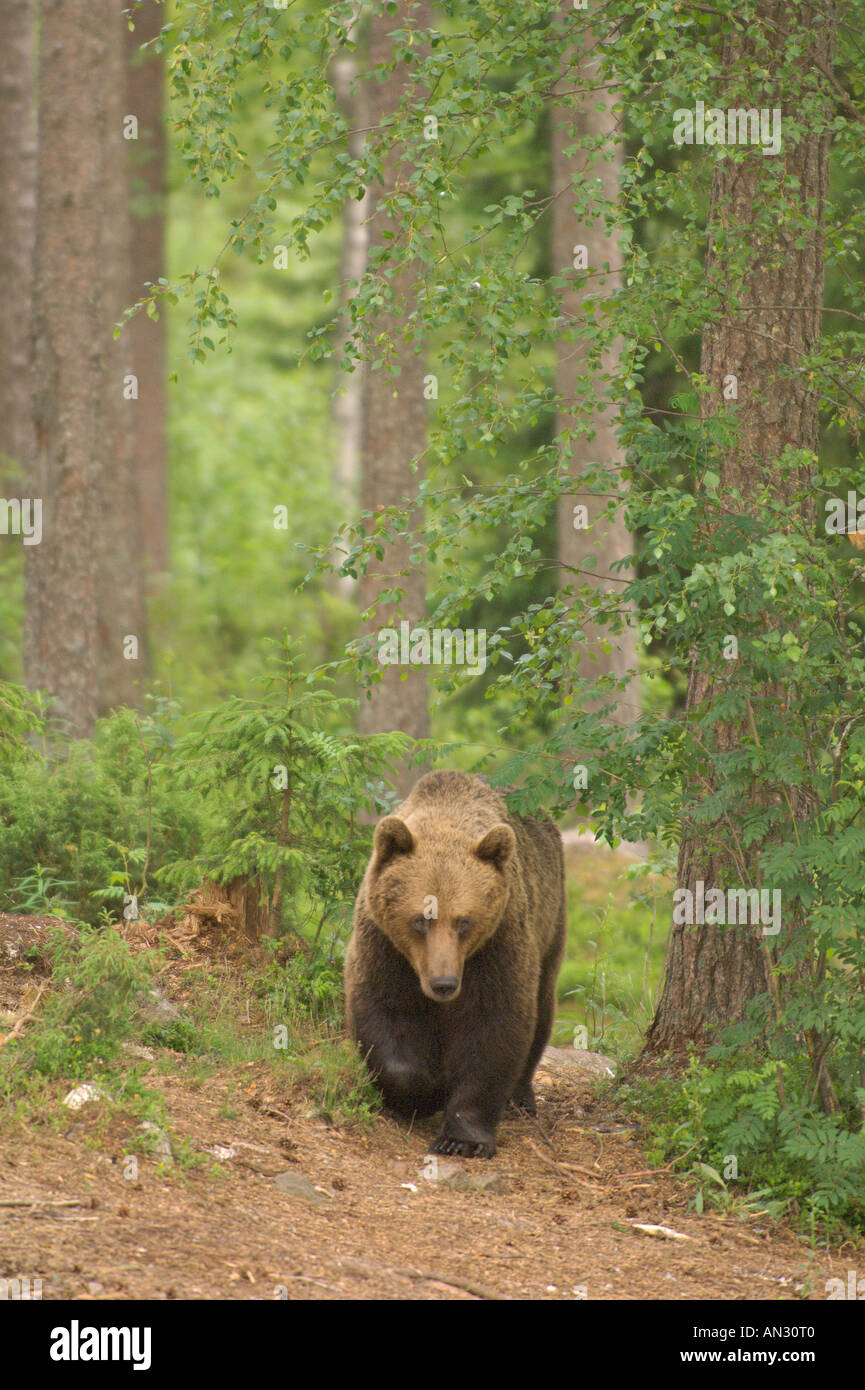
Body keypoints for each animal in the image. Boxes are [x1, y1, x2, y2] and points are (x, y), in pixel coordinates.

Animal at [344, 769, 566, 1157]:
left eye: (464, 921)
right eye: (421, 919)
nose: (444, 984)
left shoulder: (496, 945)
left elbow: (495, 1025)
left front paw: (462, 1138)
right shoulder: (385, 947)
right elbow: (382, 1011)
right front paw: (426, 1092)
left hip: (550, 922)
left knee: (542, 1008)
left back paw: (521, 1097)